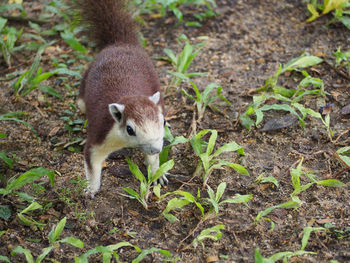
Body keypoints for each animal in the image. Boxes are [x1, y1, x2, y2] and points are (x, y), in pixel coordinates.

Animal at [76, 0, 166, 197]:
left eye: (163, 122)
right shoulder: (101, 134)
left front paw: (157, 173)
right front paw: (90, 189)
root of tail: (120, 43)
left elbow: (152, 160)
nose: (156, 148)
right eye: (130, 129)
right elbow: (92, 162)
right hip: (82, 95)